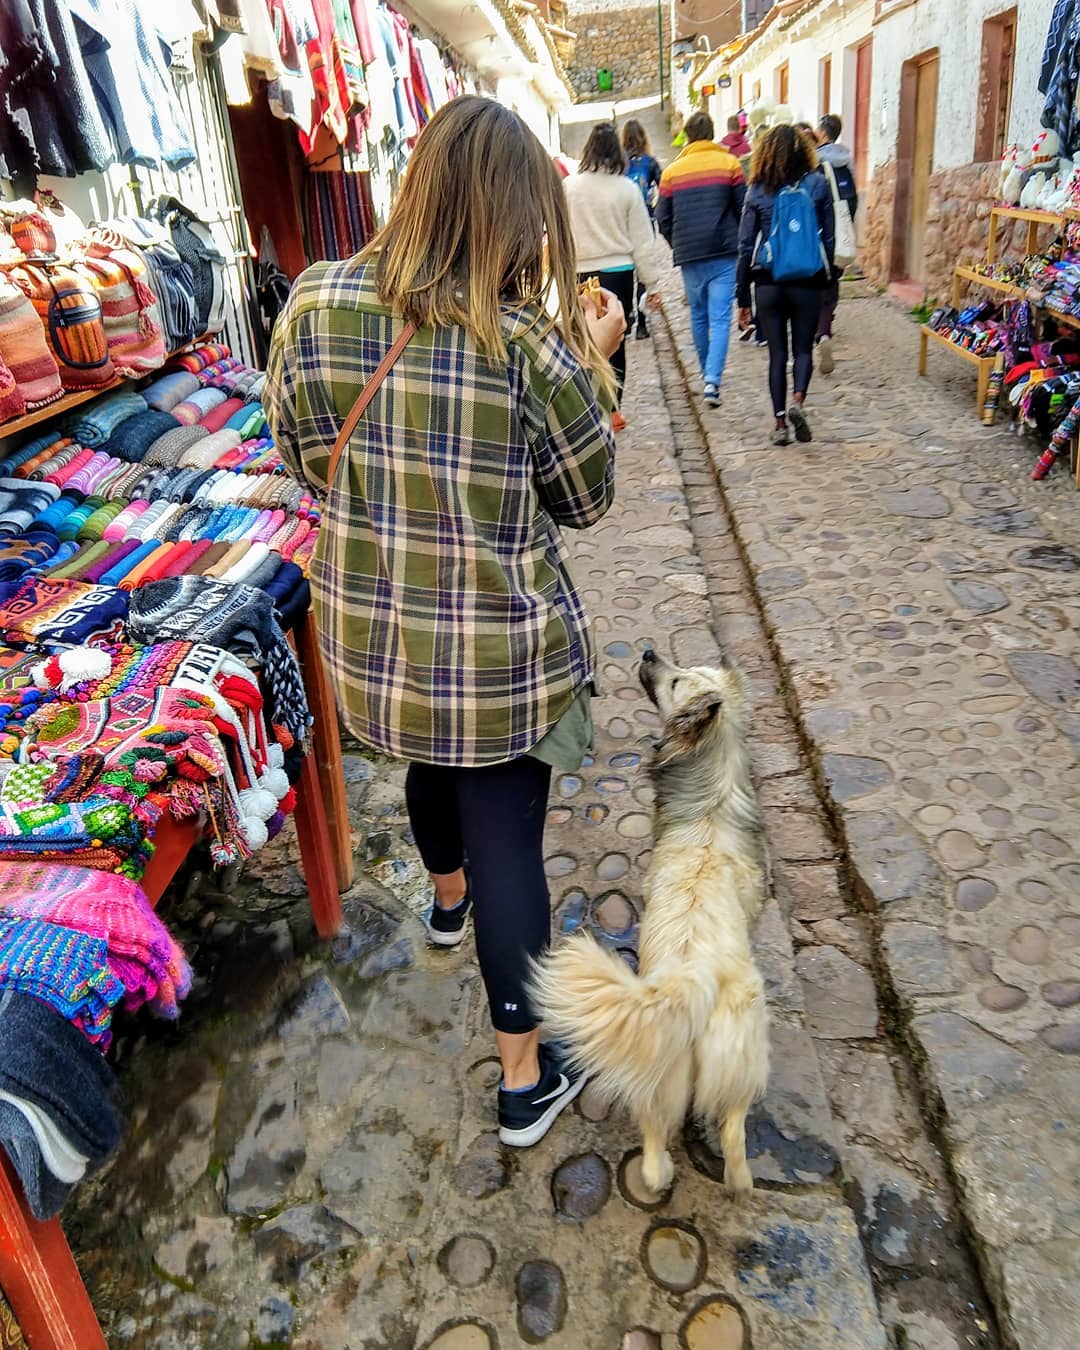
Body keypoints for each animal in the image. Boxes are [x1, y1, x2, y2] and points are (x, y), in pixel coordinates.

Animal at [529, 650, 766, 1193]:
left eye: (677, 682)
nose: (649, 652)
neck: (712, 800)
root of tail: (694, 981)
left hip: (658, 1078)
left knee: (659, 1150)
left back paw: (660, 1178)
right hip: (731, 1067)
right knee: (734, 1141)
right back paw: (736, 1181)